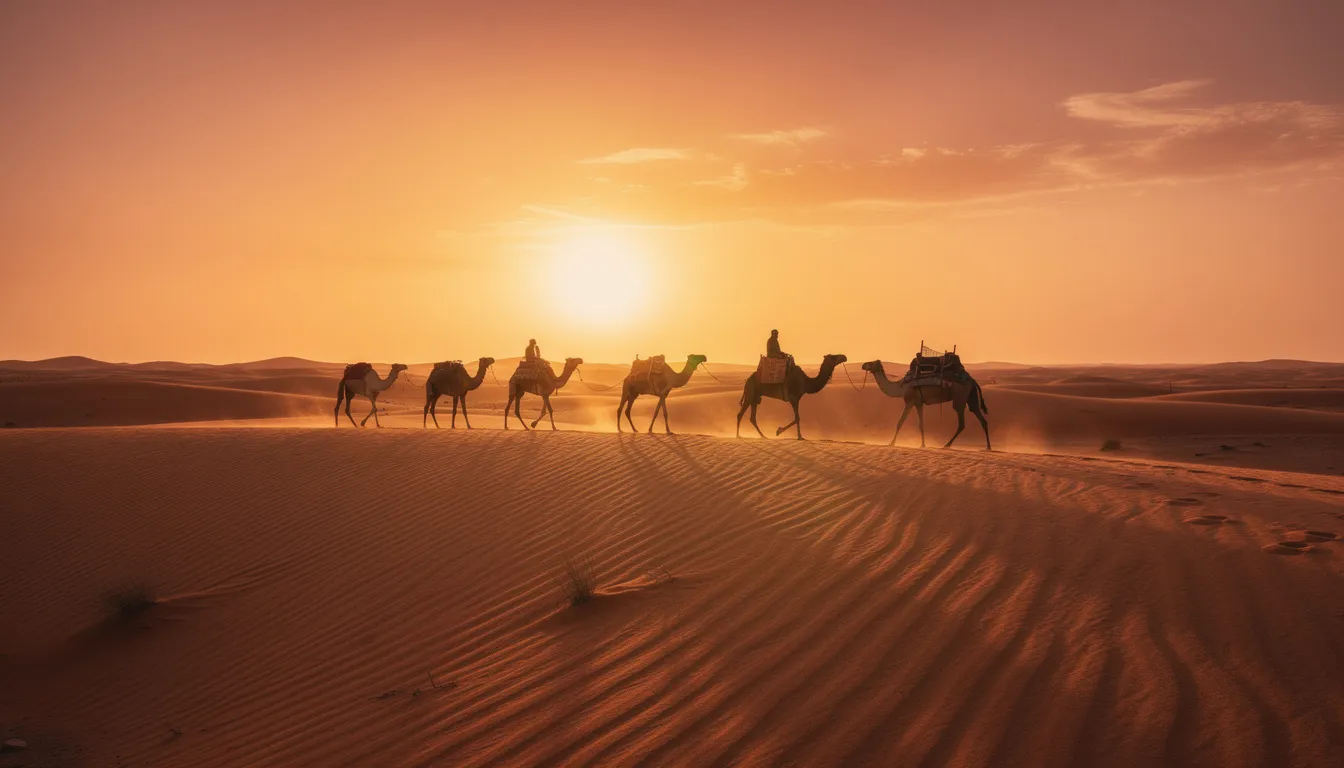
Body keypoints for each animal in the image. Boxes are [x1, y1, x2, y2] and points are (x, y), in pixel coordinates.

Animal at [861, 360, 990, 449]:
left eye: (871, 362)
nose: (863, 365)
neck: (900, 387)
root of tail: (971, 380)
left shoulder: (910, 401)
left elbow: (900, 422)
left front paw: (892, 443)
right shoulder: (919, 403)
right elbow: (921, 424)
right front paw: (923, 444)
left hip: (959, 397)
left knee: (962, 423)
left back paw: (947, 445)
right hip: (971, 397)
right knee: (981, 418)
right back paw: (988, 447)